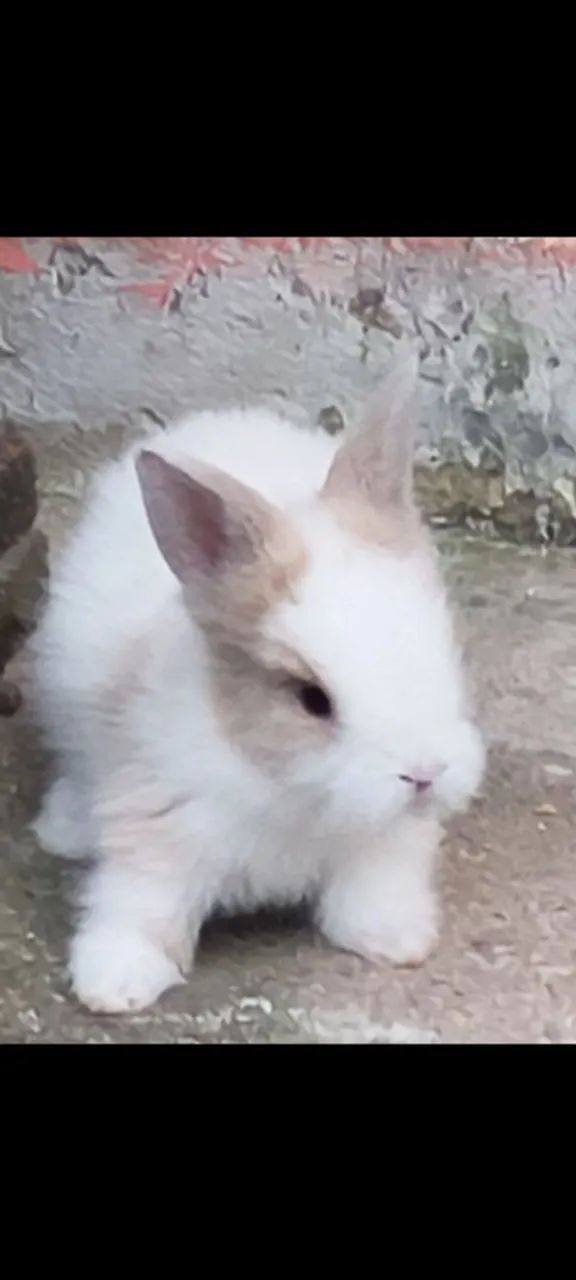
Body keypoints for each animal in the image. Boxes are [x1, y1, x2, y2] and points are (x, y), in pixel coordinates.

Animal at [30, 354, 485, 1014]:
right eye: (311, 699)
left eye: (441, 643)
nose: (424, 774)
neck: (289, 787)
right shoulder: (157, 826)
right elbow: (138, 905)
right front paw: (115, 985)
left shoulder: (382, 845)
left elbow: (368, 894)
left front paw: (396, 940)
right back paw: (61, 830)